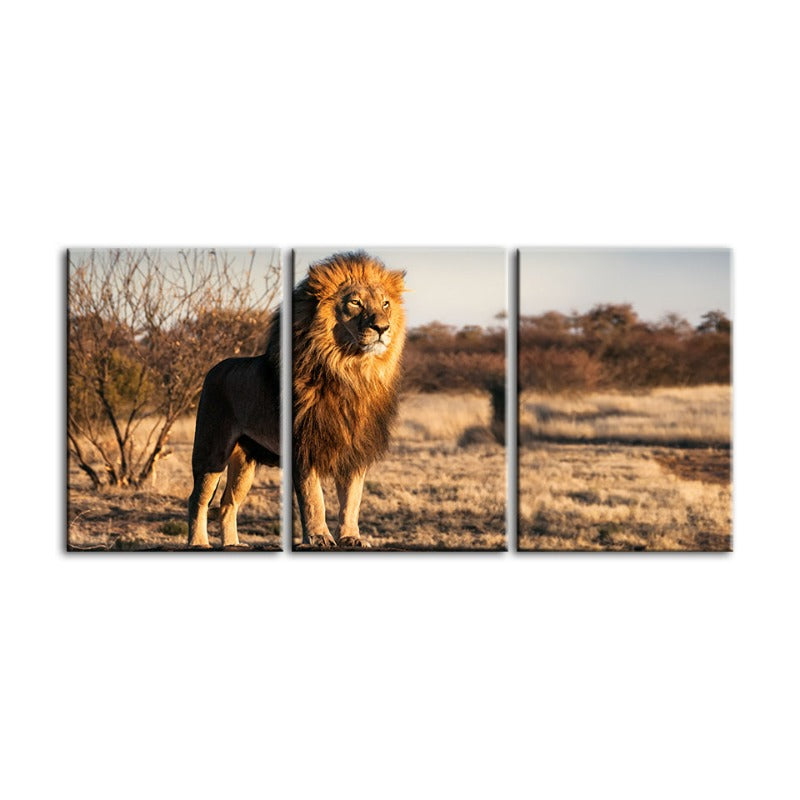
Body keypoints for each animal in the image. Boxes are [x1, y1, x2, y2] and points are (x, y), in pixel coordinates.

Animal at [187, 250, 406, 549]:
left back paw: (233, 544)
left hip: (244, 461)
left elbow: (352, 499)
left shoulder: (355, 449)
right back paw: (198, 542)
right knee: (197, 498)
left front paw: (351, 537)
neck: (351, 372)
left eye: (385, 303)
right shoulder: (303, 446)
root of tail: (214, 368)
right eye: (355, 302)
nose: (382, 327)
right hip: (212, 450)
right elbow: (314, 499)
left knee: (227, 503)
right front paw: (319, 537)